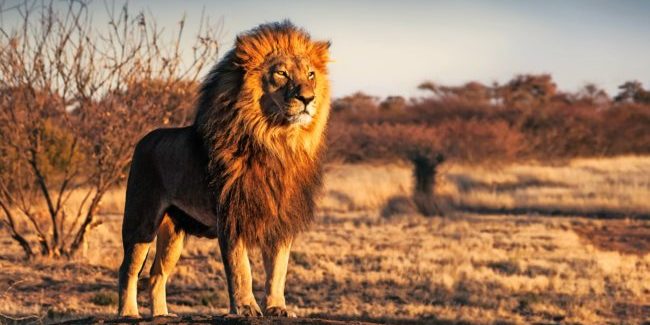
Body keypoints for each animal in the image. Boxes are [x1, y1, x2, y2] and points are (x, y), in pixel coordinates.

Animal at [117, 21, 330, 318]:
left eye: (311, 74)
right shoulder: (231, 215)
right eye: (282, 73)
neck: (276, 142)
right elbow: (241, 269)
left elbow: (278, 269)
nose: (308, 98)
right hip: (141, 220)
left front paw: (277, 307)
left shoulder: (280, 218)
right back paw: (128, 314)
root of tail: (144, 139)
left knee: (156, 274)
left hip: (173, 232)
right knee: (128, 269)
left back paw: (161, 315)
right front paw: (246, 307)